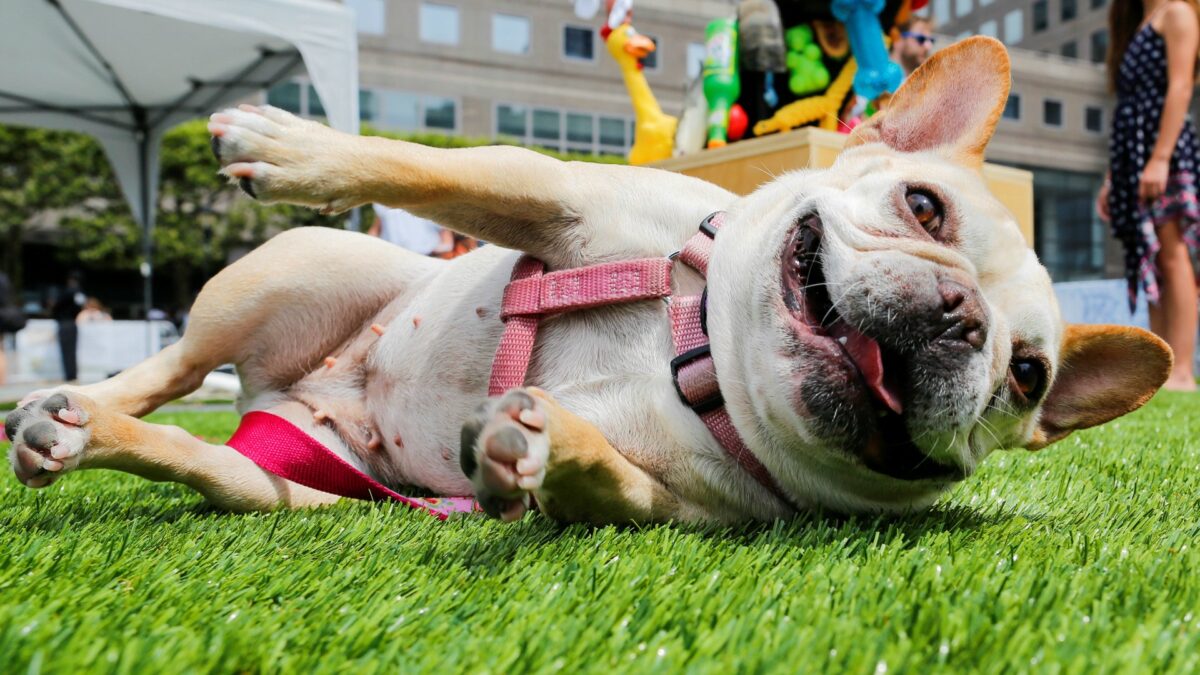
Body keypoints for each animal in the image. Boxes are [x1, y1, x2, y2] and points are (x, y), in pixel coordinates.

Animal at [2, 35, 1171, 521]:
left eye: (1027, 377)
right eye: (925, 208)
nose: (963, 316)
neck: (701, 360)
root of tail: (294, 397)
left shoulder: (686, 511)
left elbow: (606, 483)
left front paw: (543, 443)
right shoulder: (557, 200)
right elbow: (430, 168)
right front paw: (298, 148)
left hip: (300, 483)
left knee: (212, 467)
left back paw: (84, 435)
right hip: (295, 266)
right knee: (169, 368)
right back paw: (74, 401)